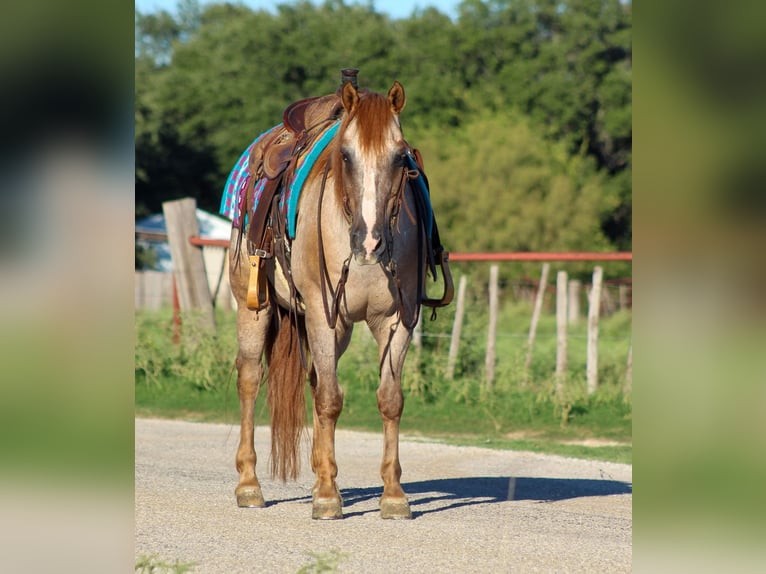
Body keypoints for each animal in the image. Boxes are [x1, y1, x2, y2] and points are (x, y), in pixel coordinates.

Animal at [227, 76, 451, 520]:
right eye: (345, 156)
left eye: (400, 157)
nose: (370, 241)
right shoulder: (321, 314)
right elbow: (330, 400)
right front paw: (328, 497)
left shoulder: (399, 321)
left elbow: (389, 399)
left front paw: (393, 495)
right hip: (254, 307)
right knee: (250, 379)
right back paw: (249, 485)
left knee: (314, 381)